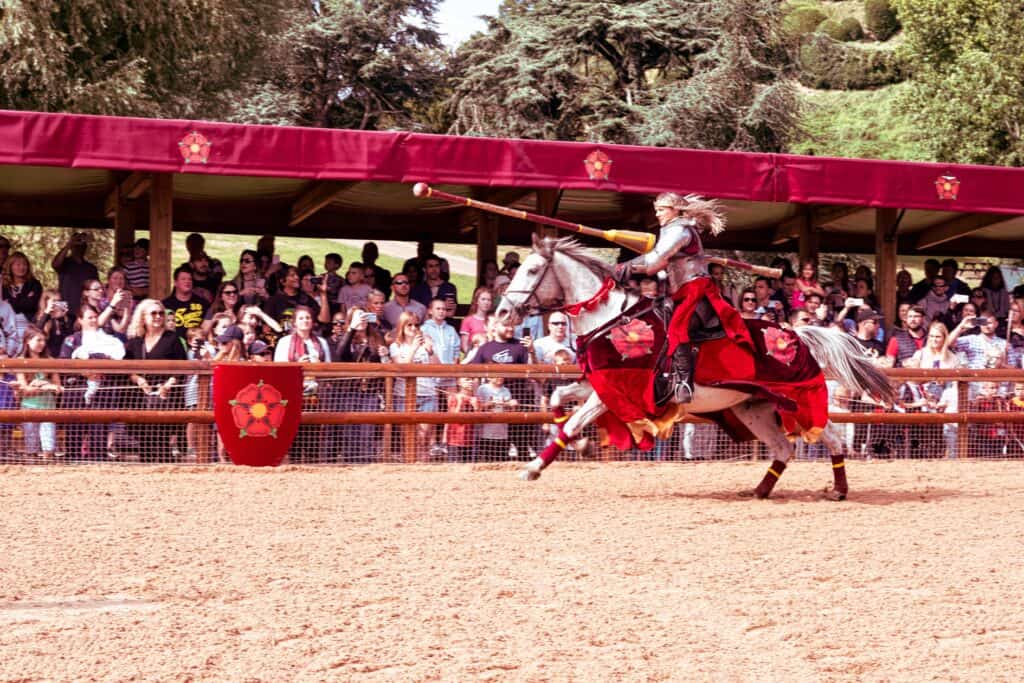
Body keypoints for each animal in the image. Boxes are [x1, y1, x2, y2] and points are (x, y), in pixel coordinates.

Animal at [495, 237, 897, 499]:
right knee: (784, 449)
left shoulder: (616, 391)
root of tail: (794, 334)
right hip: (752, 409)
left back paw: (839, 491)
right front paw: (581, 446)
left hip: (797, 401)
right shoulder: (597, 385)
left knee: (831, 438)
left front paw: (534, 467)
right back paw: (759, 490)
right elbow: (558, 400)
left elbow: (574, 420)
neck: (611, 318)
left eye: (533, 270)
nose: (502, 313)